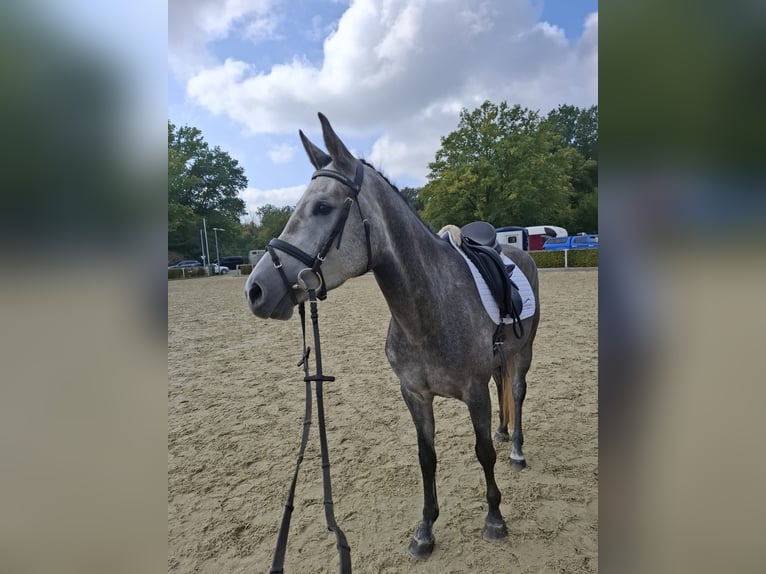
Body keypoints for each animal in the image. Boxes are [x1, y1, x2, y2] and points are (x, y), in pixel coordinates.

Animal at [245, 113, 540, 561]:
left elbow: (483, 452)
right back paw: (506, 433)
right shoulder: (414, 393)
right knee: (502, 388)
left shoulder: (474, 393)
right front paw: (425, 531)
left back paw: (517, 449)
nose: (256, 289)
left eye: (322, 207)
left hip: (524, 351)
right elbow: (426, 457)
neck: (429, 307)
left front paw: (494, 519)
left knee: (518, 393)